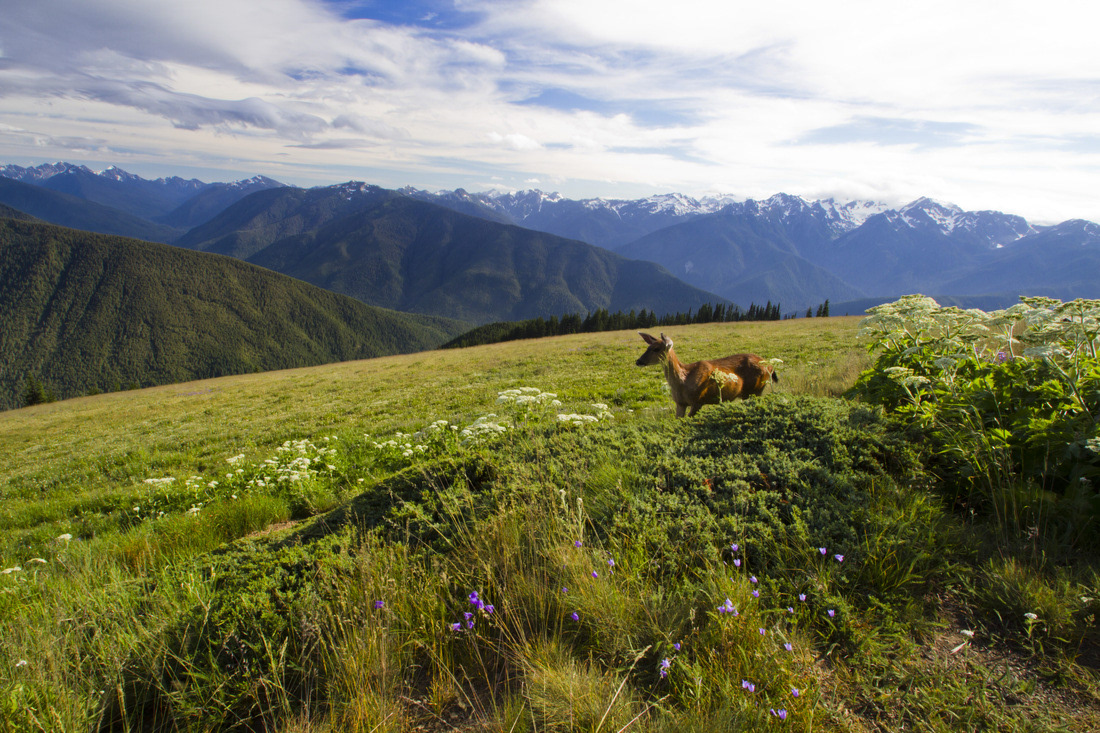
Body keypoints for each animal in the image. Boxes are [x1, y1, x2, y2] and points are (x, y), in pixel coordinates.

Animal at [636, 332, 778, 417]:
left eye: (656, 349)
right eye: (647, 347)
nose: (638, 361)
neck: (683, 381)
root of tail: (770, 366)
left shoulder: (698, 400)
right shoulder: (680, 403)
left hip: (756, 388)